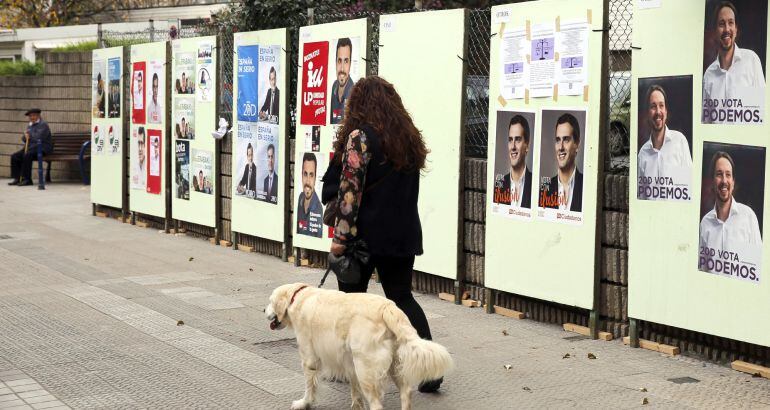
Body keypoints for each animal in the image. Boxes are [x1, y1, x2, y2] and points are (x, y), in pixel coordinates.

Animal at [268, 284, 452, 408]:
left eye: (270, 301)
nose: (264, 310)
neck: (298, 297)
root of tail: (388, 308)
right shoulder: (350, 362)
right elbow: (354, 391)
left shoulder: (309, 358)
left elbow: (310, 385)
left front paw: (304, 403)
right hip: (393, 364)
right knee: (406, 392)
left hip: (366, 369)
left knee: (377, 404)